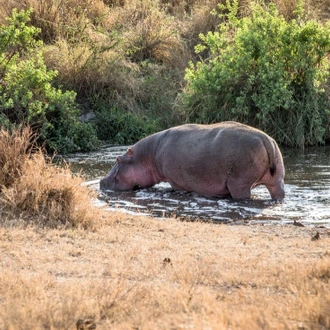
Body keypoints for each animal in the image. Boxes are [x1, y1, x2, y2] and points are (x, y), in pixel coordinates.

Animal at [99, 121, 284, 199]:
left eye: (118, 160)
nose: (101, 181)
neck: (149, 155)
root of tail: (266, 139)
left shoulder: (176, 181)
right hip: (276, 178)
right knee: (279, 191)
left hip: (239, 182)